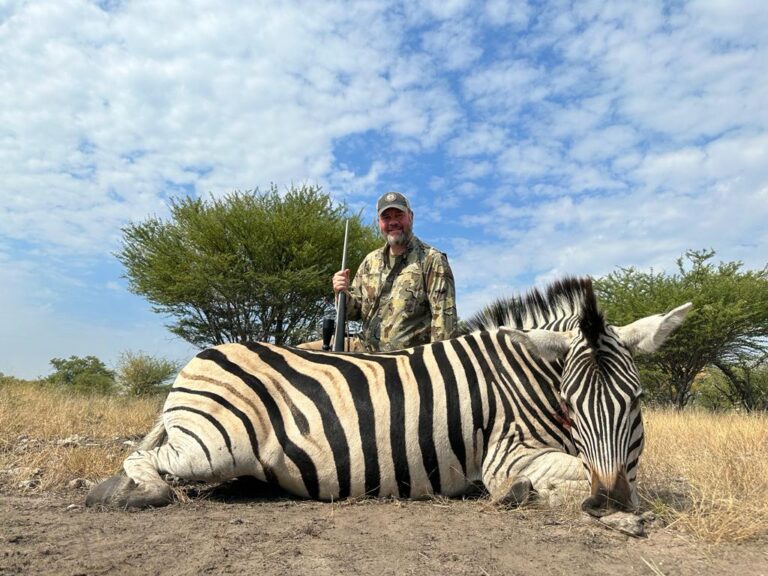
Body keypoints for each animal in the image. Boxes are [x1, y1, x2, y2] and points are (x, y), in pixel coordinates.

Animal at [85, 276, 688, 516]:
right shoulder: (505, 454)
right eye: (571, 403)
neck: (524, 378)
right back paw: (124, 494)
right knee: (144, 459)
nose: (608, 502)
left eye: (636, 401)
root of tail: (202, 357)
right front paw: (525, 494)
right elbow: (570, 475)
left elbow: (621, 477)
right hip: (214, 443)